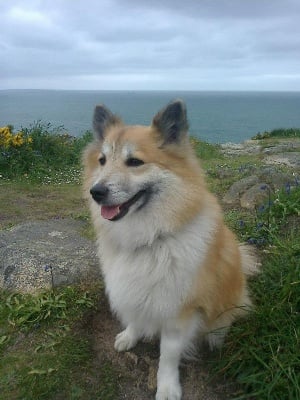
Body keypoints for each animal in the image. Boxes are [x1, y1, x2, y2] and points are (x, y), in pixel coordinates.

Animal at [83, 100, 256, 400]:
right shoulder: (134, 290)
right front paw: (130, 335)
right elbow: (135, 316)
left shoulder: (179, 312)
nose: (97, 192)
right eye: (102, 160)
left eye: (135, 162)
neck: (152, 238)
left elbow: (168, 356)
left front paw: (167, 387)